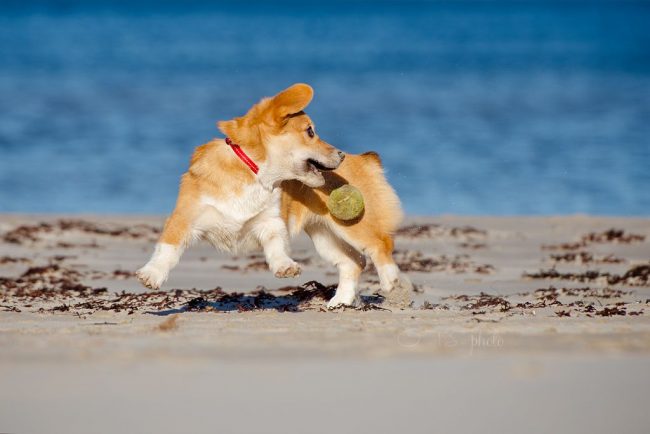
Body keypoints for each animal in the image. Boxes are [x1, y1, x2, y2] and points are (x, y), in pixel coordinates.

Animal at [136, 84, 410, 308]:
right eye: (310, 132)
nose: (341, 155)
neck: (253, 172)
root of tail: (365, 160)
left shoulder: (270, 222)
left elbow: (276, 246)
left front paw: (285, 266)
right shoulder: (184, 218)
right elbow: (167, 249)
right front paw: (152, 275)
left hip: (353, 227)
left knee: (380, 245)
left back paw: (391, 281)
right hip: (324, 236)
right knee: (353, 263)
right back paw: (339, 301)